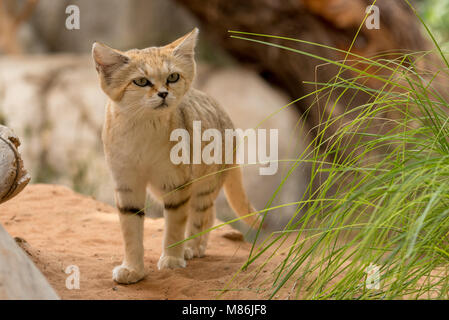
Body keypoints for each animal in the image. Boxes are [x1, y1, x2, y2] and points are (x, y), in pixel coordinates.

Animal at [92, 29, 256, 284]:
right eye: (141, 81)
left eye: (173, 77)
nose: (163, 93)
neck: (144, 129)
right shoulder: (127, 184)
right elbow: (130, 230)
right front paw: (133, 269)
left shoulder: (177, 183)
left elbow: (175, 226)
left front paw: (171, 259)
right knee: (210, 214)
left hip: (203, 184)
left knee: (201, 214)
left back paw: (193, 247)